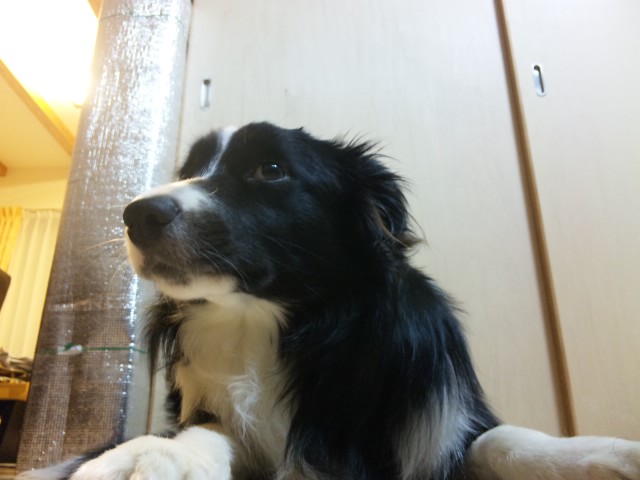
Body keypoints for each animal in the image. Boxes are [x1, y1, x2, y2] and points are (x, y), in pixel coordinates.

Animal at [21, 122, 640, 479]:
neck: (266, 324)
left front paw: (607, 457)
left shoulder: (434, 417)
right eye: (189, 171)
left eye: (270, 168)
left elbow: (501, 438)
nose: (136, 214)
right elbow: (203, 430)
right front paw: (148, 456)